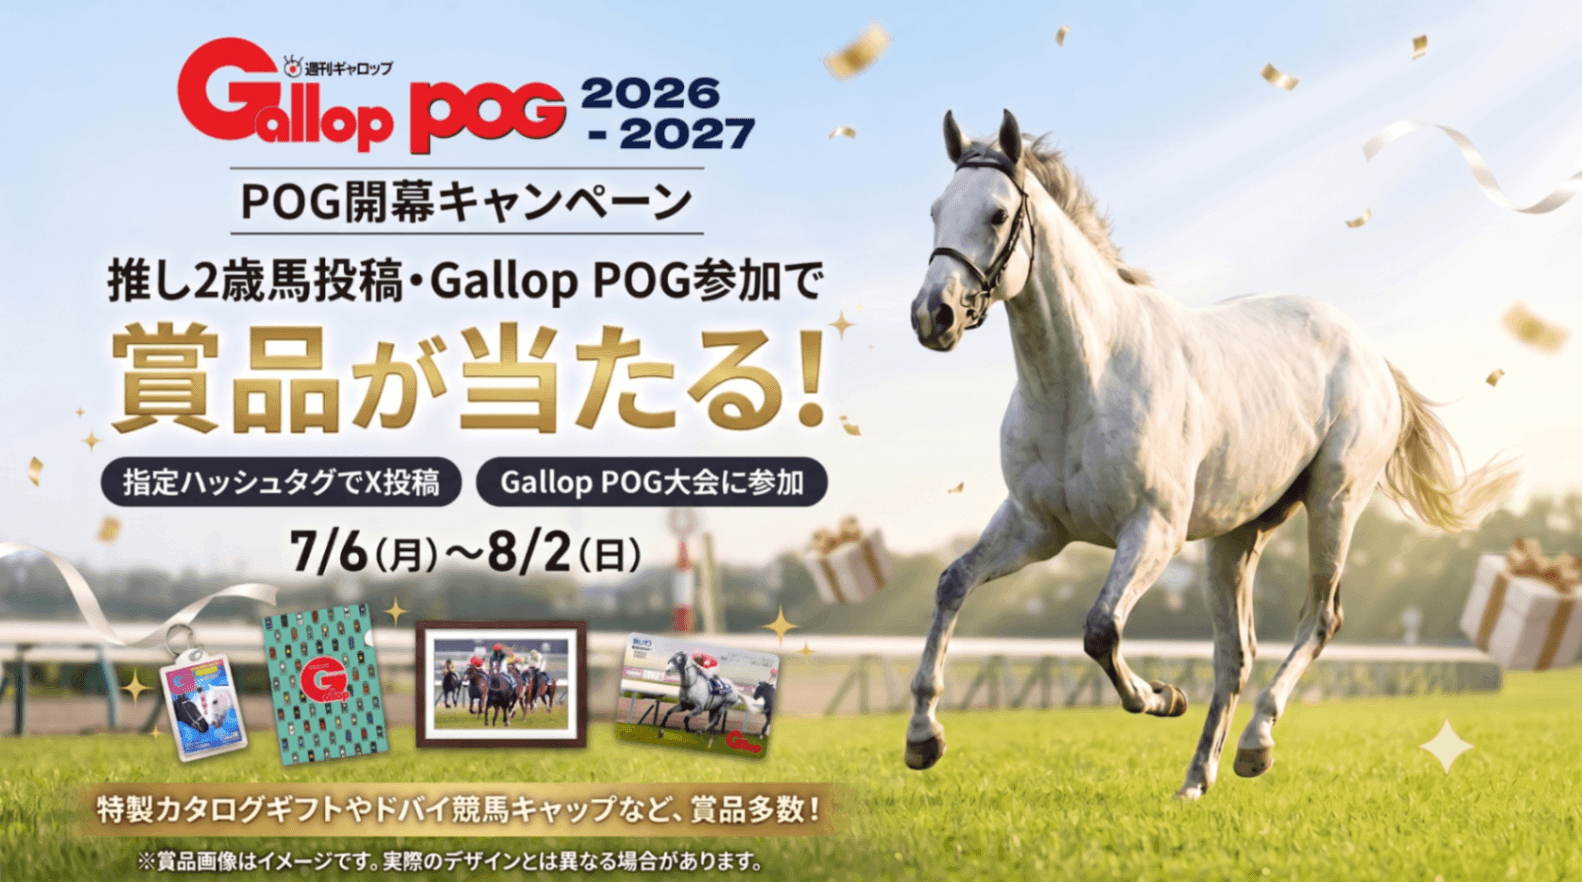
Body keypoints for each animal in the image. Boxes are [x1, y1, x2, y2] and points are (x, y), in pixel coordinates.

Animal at [902, 109, 1519, 799]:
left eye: (998, 213)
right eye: (936, 210)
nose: (933, 315)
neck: (1083, 381)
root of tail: (1370, 353)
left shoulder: (1155, 529)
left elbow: (1101, 629)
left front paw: (1163, 695)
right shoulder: (1037, 527)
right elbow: (953, 583)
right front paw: (923, 736)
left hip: (1334, 502)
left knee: (1320, 619)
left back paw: (1256, 743)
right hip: (1236, 537)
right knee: (1236, 654)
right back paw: (1198, 777)